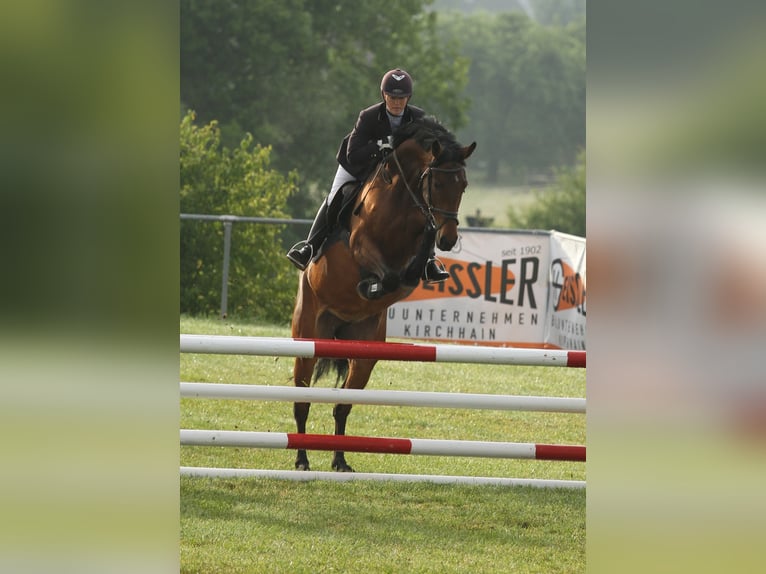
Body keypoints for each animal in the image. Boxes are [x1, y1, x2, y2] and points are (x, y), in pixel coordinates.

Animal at [292, 117, 476, 472]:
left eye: (462, 186)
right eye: (437, 183)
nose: (448, 240)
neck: (405, 197)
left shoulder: (414, 246)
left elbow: (410, 269)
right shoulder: (360, 243)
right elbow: (386, 274)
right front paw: (371, 286)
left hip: (364, 354)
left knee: (342, 407)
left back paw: (340, 461)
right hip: (307, 337)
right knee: (302, 402)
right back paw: (302, 459)